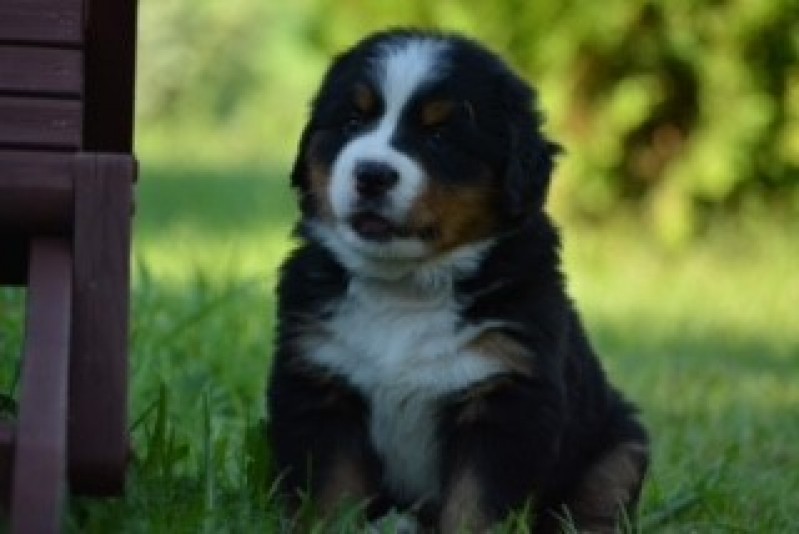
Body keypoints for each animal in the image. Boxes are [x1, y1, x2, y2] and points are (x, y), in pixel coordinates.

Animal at [268, 30, 648, 534]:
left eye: (440, 134)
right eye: (352, 120)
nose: (372, 174)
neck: (403, 287)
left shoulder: (504, 397)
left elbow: (474, 504)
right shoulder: (318, 381)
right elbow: (329, 493)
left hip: (622, 446)